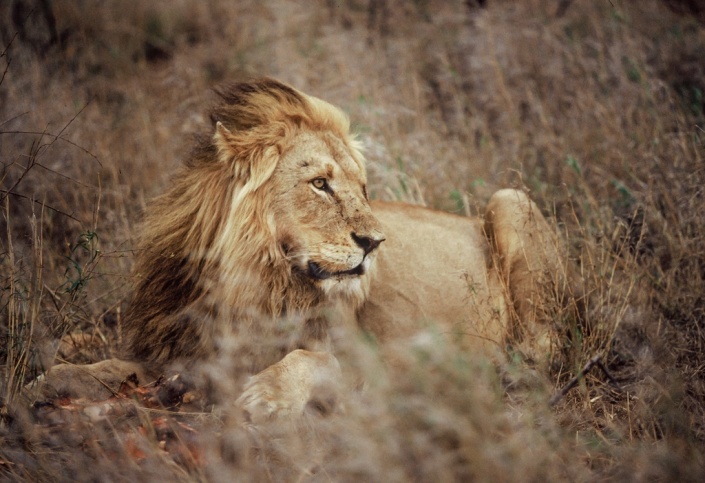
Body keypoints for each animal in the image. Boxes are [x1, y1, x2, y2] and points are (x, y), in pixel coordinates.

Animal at [35, 78, 580, 421]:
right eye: (320, 184)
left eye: (362, 189)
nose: (375, 242)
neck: (254, 280)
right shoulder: (177, 348)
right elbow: (110, 367)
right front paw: (53, 378)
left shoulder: (369, 363)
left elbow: (310, 360)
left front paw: (266, 396)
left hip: (509, 201)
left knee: (542, 349)